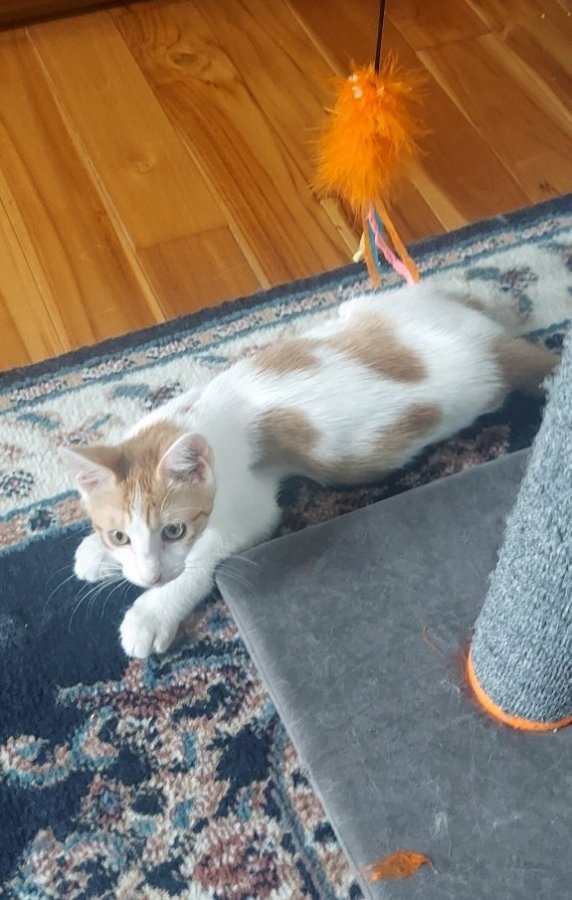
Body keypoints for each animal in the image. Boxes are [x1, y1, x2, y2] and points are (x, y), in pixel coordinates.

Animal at [60, 283, 556, 659]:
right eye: (119, 535)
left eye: (174, 531)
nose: (148, 577)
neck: (192, 417)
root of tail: (494, 346)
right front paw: (97, 553)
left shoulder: (251, 508)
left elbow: (203, 557)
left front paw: (152, 612)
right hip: (384, 304)